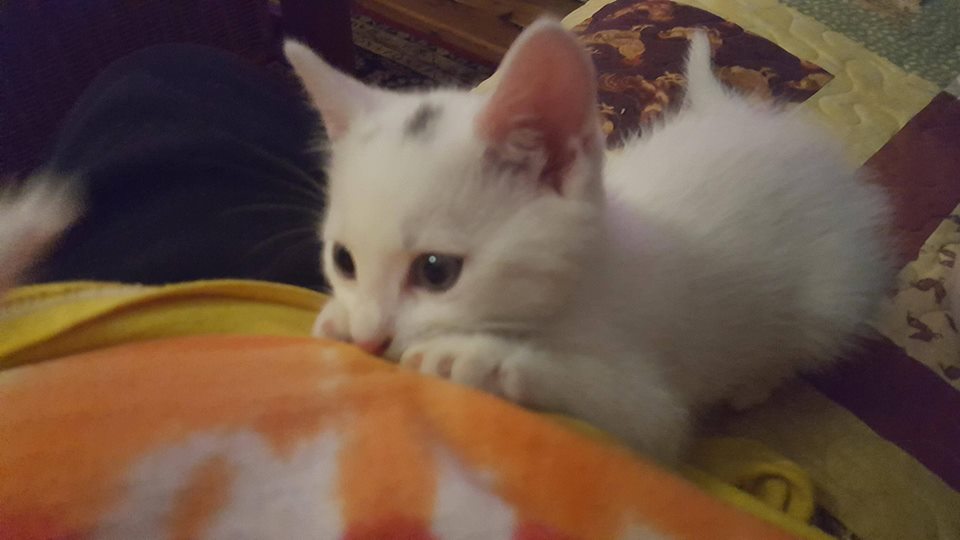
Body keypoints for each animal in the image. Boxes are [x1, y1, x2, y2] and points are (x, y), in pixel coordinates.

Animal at [298, 21, 892, 462]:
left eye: (436, 271)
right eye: (343, 261)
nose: (370, 340)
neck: (583, 275)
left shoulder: (656, 411)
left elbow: (621, 405)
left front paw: (473, 357)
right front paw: (338, 318)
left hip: (832, 297)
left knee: (799, 343)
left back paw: (753, 385)